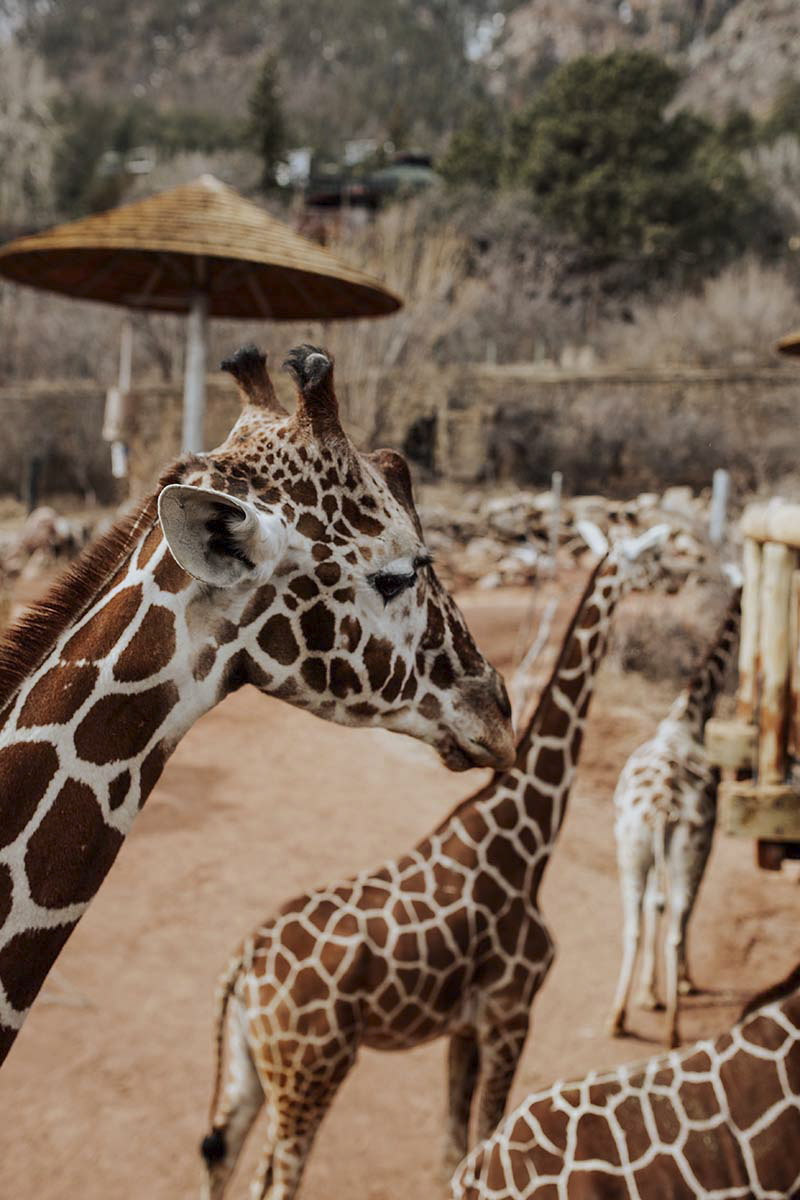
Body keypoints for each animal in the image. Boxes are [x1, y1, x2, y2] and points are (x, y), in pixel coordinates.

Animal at [197, 523, 668, 1200]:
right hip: (310, 1070)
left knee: (220, 1152)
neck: (528, 841)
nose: (671, 574)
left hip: (252, 1067)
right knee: (277, 1179)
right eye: (650, 553)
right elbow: (487, 1133)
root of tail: (243, 964)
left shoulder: (463, 1026)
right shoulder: (510, 1012)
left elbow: (454, 1147)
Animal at [607, 575, 742, 1049]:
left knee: (634, 922)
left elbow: (654, 905)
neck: (688, 715)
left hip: (632, 848)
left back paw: (618, 1019)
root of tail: (662, 806)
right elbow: (680, 911)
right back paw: (672, 1030)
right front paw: (679, 984)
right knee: (677, 924)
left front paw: (648, 995)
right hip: (686, 848)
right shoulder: (708, 841)